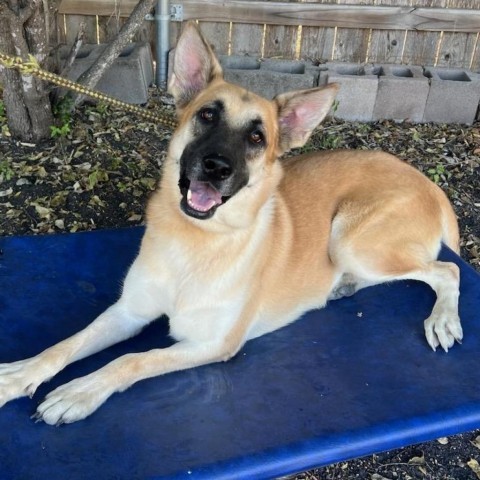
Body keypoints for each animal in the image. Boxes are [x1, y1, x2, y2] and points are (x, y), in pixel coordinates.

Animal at [0, 22, 462, 424]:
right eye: (207, 115)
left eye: (257, 138)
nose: (216, 167)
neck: (199, 240)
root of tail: (425, 180)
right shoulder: (129, 311)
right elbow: (67, 344)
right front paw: (22, 374)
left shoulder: (210, 343)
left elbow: (130, 359)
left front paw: (80, 391)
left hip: (351, 241)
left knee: (447, 269)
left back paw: (442, 318)